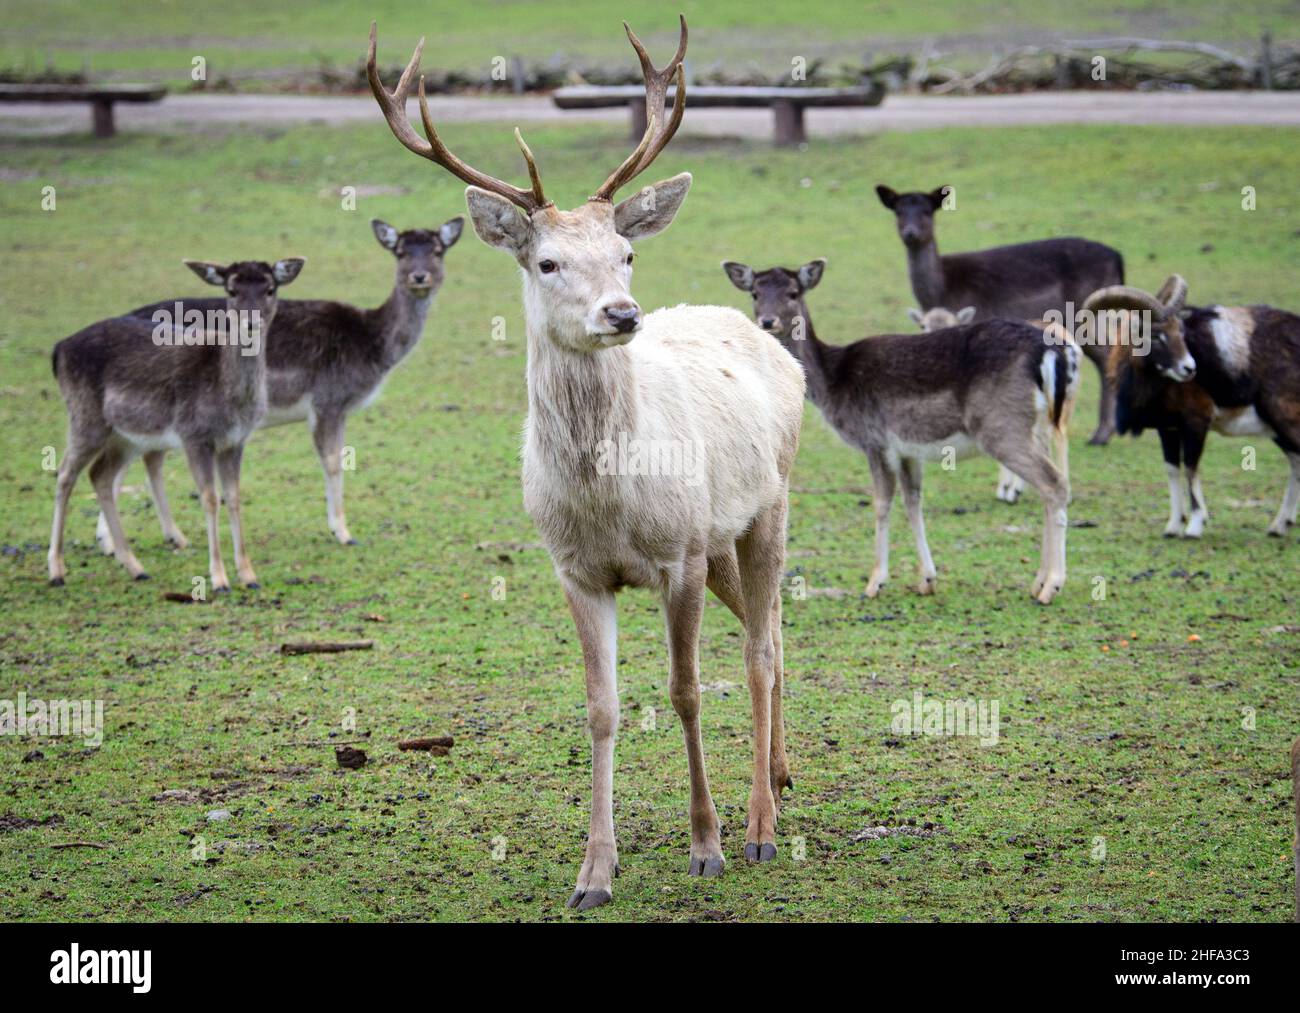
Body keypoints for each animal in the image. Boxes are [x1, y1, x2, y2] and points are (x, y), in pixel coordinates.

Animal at [48, 257, 304, 590]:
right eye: (231, 290)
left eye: (270, 288)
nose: (251, 323)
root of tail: (59, 349)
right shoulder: (193, 435)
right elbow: (210, 498)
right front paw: (219, 578)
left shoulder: (235, 440)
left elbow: (234, 497)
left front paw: (249, 576)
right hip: (85, 416)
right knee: (65, 473)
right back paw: (56, 570)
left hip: (126, 436)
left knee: (99, 475)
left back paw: (135, 567)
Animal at [105, 218, 462, 551]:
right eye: (400, 252)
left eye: (437, 250)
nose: (419, 277)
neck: (370, 344)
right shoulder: (328, 399)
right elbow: (333, 462)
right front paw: (343, 533)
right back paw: (112, 544)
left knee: (147, 458)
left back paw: (166, 537)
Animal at [366, 17, 806, 910]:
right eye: (547, 262)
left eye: (626, 251)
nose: (623, 312)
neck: (608, 500)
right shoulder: (575, 568)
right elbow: (601, 706)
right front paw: (594, 871)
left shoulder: (675, 553)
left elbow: (684, 690)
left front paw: (705, 844)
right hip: (722, 539)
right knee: (769, 627)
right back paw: (779, 778)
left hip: (766, 506)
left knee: (760, 650)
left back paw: (760, 825)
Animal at [722, 257, 1076, 603]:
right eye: (754, 292)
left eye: (794, 292)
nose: (767, 321)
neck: (834, 381)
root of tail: (1048, 350)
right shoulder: (909, 449)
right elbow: (913, 501)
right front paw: (927, 579)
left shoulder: (875, 440)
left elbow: (881, 503)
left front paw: (875, 582)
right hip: (1038, 426)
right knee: (1049, 485)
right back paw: (1038, 581)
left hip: (1002, 427)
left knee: (1054, 483)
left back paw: (1052, 585)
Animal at [873, 184, 1128, 444]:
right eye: (898, 211)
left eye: (927, 211)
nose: (910, 233)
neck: (942, 291)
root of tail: (1118, 257)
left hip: (1087, 315)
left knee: (1107, 355)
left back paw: (1101, 434)